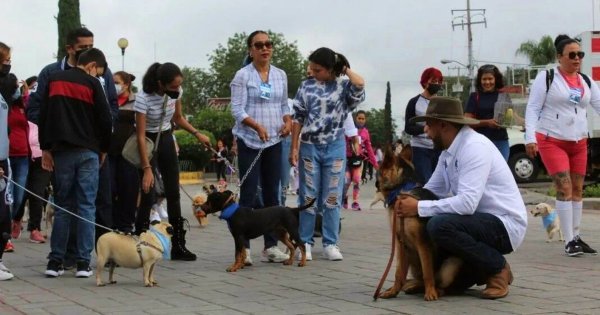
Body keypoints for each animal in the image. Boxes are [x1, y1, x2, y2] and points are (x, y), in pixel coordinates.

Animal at [376, 147, 464, 302]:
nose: (375, 183)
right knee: (416, 280)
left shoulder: (423, 244)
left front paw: (430, 293)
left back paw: (434, 290)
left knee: (443, 286)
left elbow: (427, 272)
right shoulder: (401, 244)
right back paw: (412, 287)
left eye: (379, 170)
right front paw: (393, 292)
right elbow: (399, 273)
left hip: (452, 264)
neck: (402, 191)